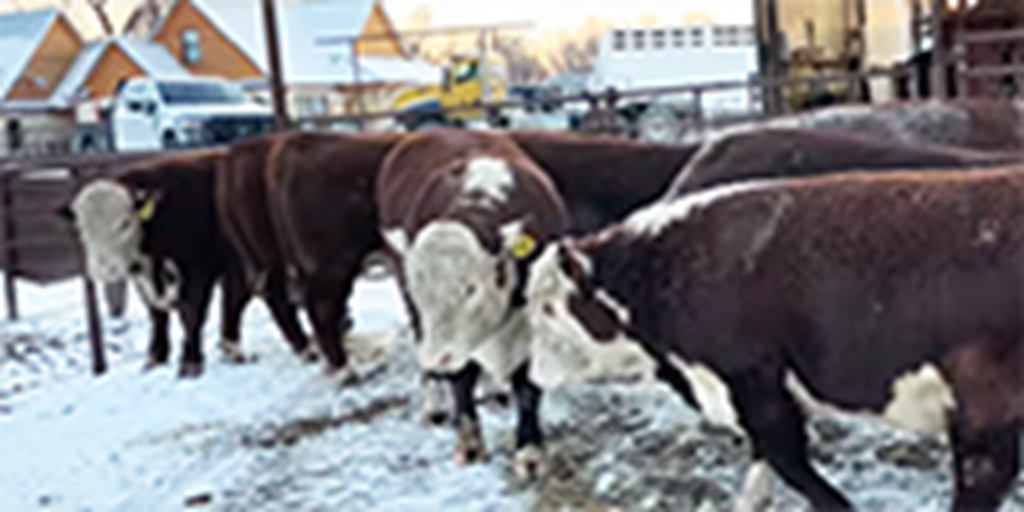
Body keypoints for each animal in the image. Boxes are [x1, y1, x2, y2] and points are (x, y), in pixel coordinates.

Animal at [376, 125, 569, 477]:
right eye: (419, 287)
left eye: (471, 288)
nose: (437, 358)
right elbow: (461, 379)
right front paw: (469, 443)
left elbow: (527, 385)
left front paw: (530, 452)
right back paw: (435, 405)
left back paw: (494, 391)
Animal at [520, 167, 1024, 512]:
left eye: (548, 310)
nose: (531, 373)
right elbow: (762, 467)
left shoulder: (751, 383)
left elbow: (792, 465)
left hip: (985, 416)